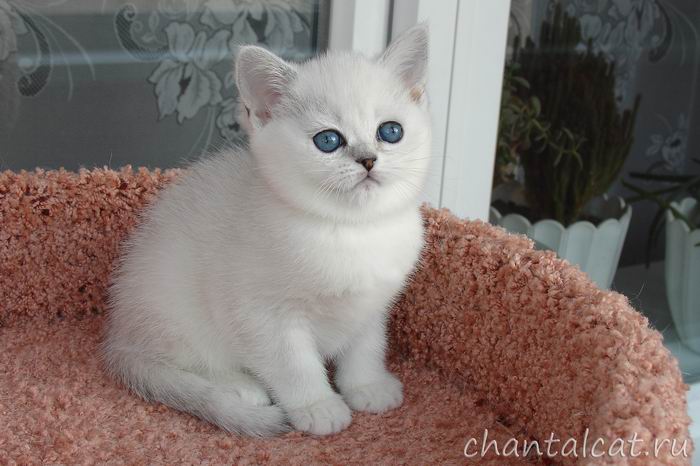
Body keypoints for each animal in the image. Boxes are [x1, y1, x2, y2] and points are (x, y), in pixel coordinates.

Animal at [102, 23, 432, 436]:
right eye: (328, 140)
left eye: (390, 131)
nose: (368, 159)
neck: (348, 229)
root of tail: (119, 337)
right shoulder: (262, 314)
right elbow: (294, 365)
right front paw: (318, 406)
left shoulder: (372, 305)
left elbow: (366, 347)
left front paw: (366, 386)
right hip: (175, 308)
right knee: (177, 361)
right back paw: (240, 387)